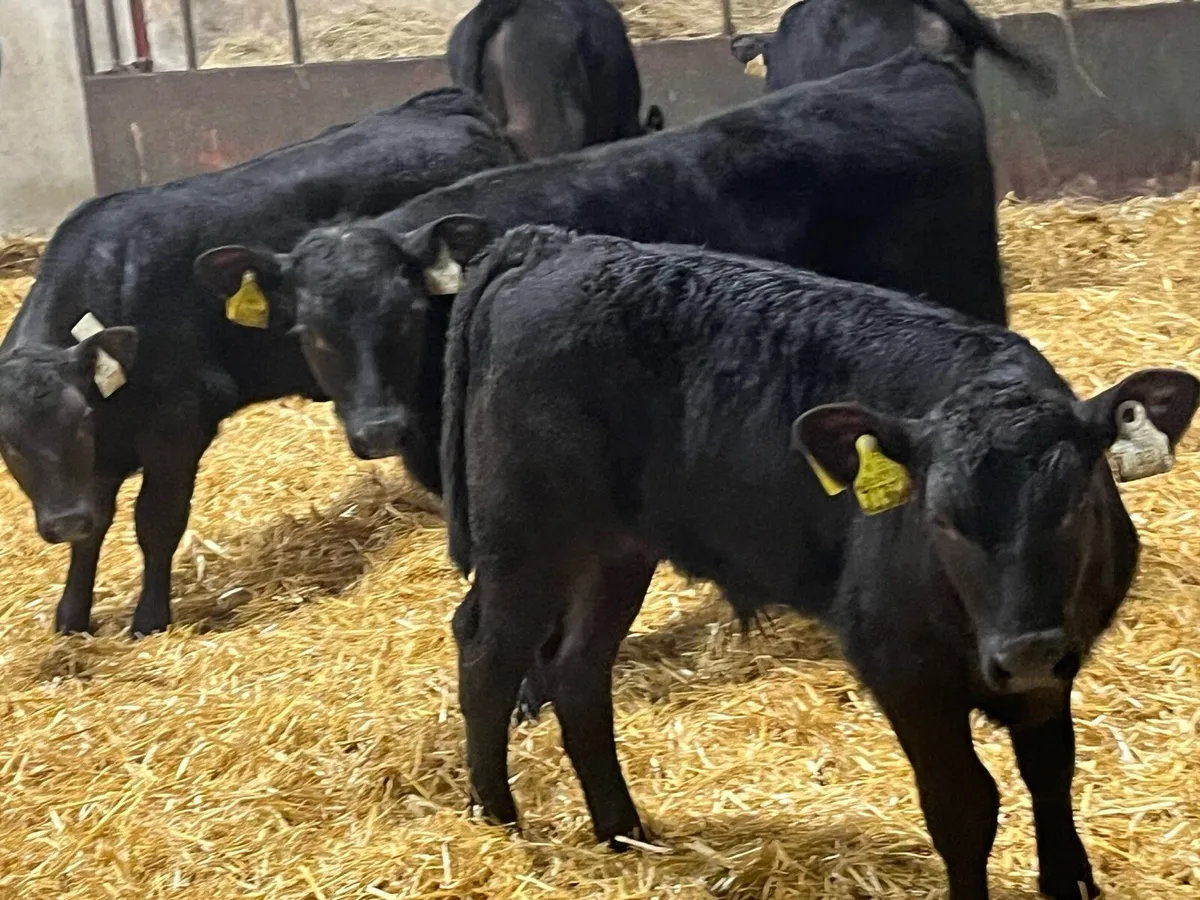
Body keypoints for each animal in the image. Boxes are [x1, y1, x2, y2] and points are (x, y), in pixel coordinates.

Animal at [0, 88, 519, 637]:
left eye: (79, 420)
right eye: (7, 444)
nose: (62, 521)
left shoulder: (177, 426)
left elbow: (156, 522)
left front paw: (149, 619)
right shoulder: (98, 460)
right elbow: (93, 528)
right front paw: (71, 617)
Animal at [439, 224, 1200, 900]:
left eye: (1076, 501)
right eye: (940, 519)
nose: (1027, 650)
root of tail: (552, 242)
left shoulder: (1052, 669)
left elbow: (1050, 770)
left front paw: (1071, 880)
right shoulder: (902, 668)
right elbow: (962, 805)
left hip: (618, 552)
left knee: (577, 669)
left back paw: (623, 831)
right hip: (524, 538)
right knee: (487, 657)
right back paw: (497, 821)